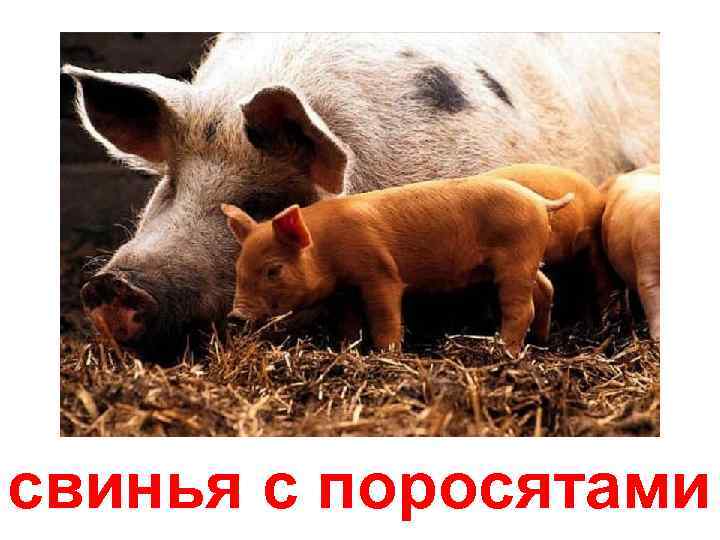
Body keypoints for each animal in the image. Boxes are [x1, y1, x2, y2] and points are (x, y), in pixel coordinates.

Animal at [221, 177, 574, 356]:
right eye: (238, 268)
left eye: (273, 270)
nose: (235, 316)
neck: (326, 247)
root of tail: (538, 201)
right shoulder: (346, 290)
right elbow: (349, 323)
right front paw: (348, 351)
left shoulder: (379, 273)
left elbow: (384, 316)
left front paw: (388, 354)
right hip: (528, 259)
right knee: (546, 288)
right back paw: (540, 341)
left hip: (515, 259)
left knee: (521, 307)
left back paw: (504, 351)